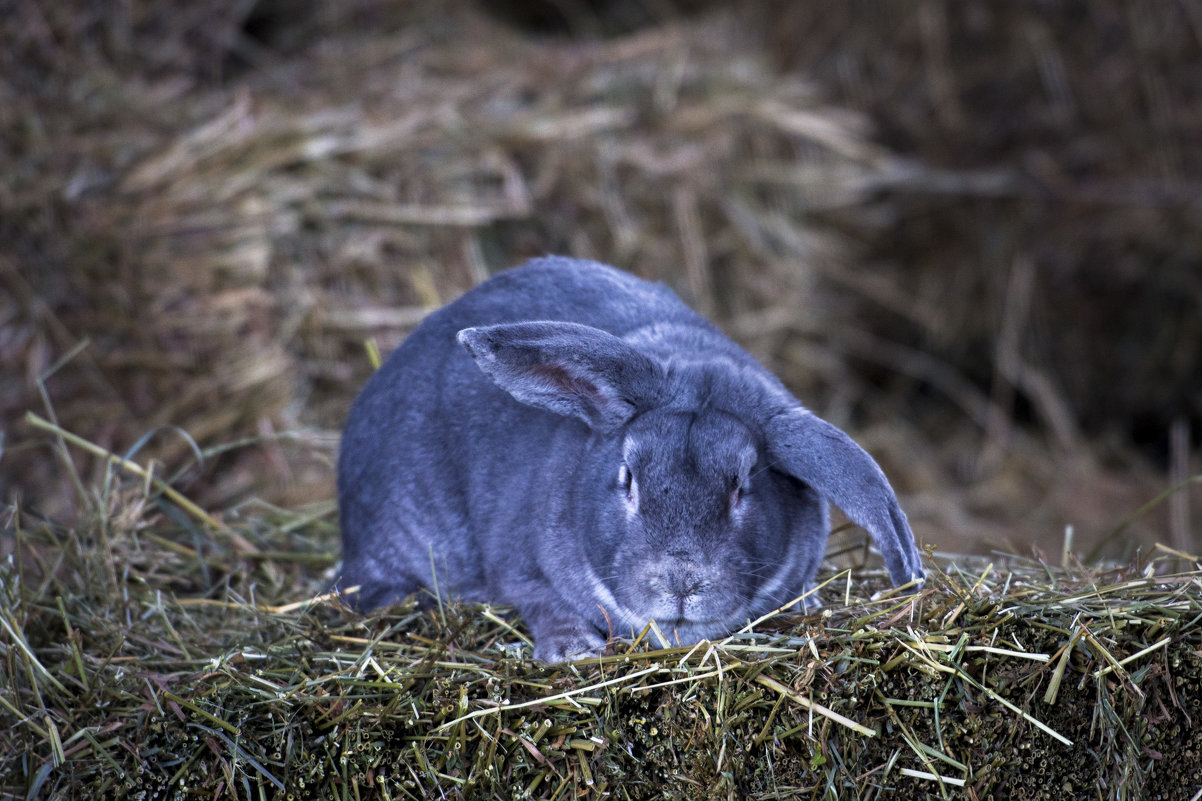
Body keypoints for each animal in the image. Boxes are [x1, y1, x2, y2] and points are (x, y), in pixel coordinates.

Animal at [334, 257, 923, 659]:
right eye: (628, 478)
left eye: (742, 485)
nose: (681, 583)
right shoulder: (515, 564)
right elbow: (539, 598)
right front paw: (574, 650)